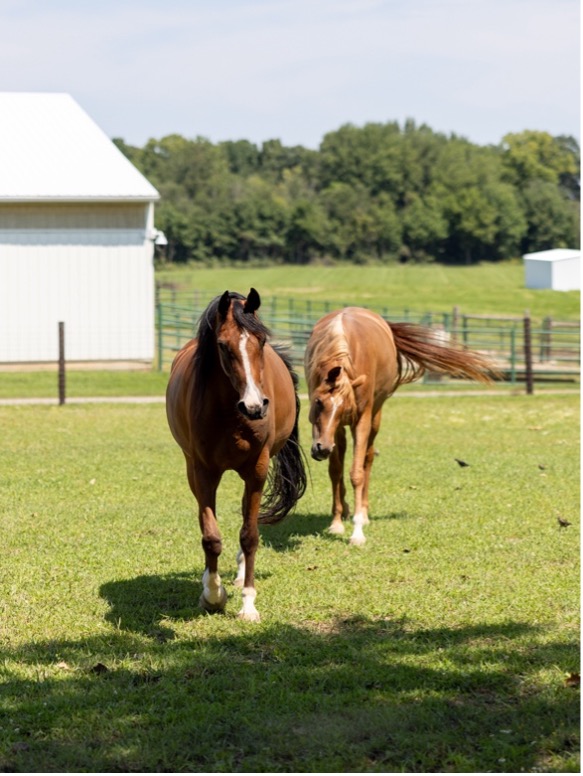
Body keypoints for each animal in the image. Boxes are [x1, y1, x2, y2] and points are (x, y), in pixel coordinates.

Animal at [167, 288, 308, 620]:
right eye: (222, 345)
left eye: (262, 341)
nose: (254, 406)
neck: (231, 414)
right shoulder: (204, 472)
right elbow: (210, 536)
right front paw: (213, 594)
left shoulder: (257, 470)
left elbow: (250, 535)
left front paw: (248, 604)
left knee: (247, 518)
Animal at [304, 308, 500, 544]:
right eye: (318, 402)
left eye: (343, 409)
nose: (322, 449)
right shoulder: (335, 427)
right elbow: (335, 470)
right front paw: (336, 523)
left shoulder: (360, 417)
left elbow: (357, 473)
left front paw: (358, 532)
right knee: (341, 457)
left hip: (375, 417)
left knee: (368, 458)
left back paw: (364, 513)